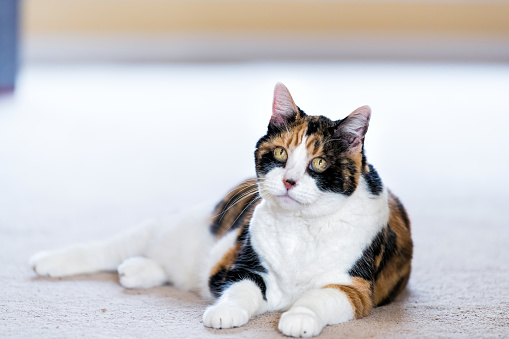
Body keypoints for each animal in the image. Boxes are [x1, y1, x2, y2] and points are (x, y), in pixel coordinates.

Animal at [28, 83, 412, 338]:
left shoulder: (355, 289)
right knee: (105, 248)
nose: (288, 181)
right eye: (281, 154)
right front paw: (224, 313)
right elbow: (241, 289)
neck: (300, 229)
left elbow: (319, 297)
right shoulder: (245, 267)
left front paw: (298, 318)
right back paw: (48, 262)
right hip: (173, 228)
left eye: (318, 162)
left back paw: (137, 270)